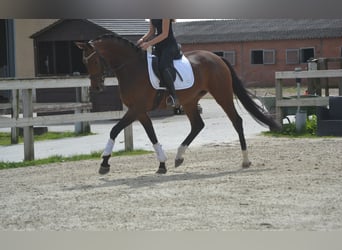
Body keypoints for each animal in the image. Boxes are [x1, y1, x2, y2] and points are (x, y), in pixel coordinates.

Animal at [75, 32, 280, 174]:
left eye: (94, 61)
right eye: (84, 62)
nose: (96, 88)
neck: (131, 67)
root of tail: (217, 57)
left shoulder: (136, 109)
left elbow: (114, 130)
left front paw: (104, 163)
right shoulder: (140, 111)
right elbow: (152, 135)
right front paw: (162, 164)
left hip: (221, 94)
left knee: (236, 121)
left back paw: (245, 161)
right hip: (190, 101)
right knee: (198, 125)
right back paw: (179, 157)